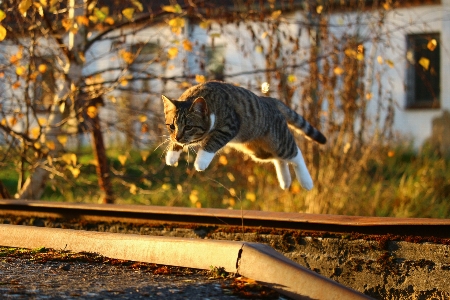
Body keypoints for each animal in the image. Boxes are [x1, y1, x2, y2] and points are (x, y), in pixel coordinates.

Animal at [160, 81, 326, 190]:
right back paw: (285, 181)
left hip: (279, 140)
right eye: (172, 126)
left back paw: (306, 182)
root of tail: (270, 100)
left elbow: (212, 142)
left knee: (295, 155)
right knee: (279, 159)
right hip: (258, 151)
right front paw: (172, 156)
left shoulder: (230, 126)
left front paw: (201, 162)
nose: (178, 137)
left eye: (188, 127)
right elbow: (176, 145)